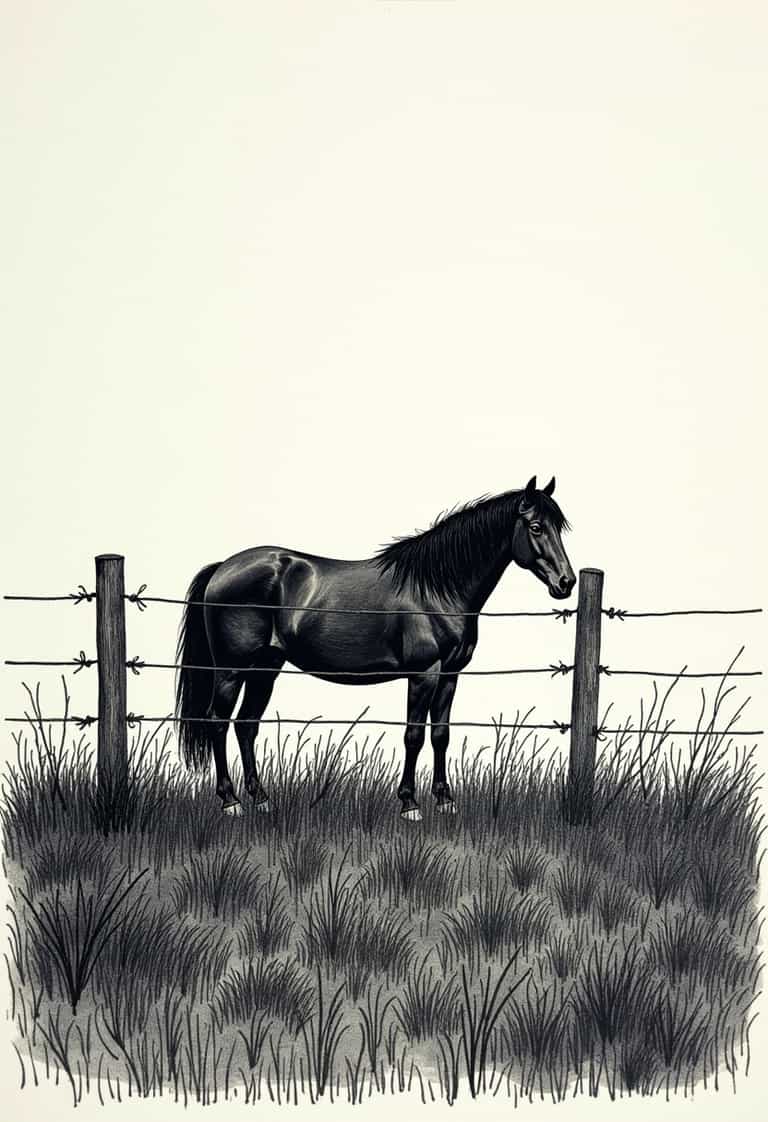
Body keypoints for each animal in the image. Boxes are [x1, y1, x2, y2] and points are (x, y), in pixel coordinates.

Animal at [174, 476, 575, 820]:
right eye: (536, 528)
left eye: (558, 527)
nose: (566, 582)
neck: (435, 589)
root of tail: (224, 568)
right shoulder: (424, 674)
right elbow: (414, 735)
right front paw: (409, 804)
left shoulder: (450, 674)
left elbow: (440, 735)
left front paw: (445, 801)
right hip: (231, 670)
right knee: (218, 722)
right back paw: (230, 802)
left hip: (266, 668)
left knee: (246, 725)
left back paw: (261, 799)